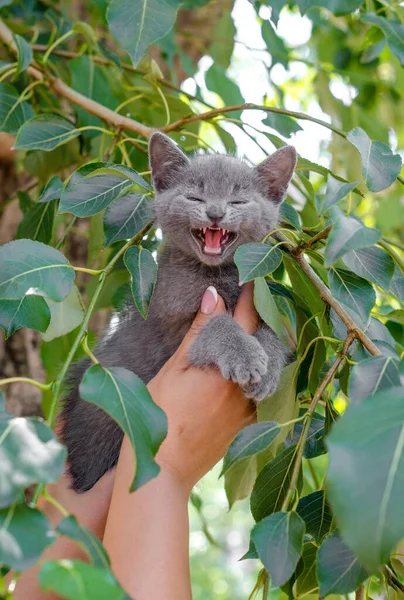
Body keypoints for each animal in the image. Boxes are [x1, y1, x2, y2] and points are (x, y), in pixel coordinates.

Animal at [60, 132, 296, 492]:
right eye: (195, 196)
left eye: (238, 201)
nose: (215, 212)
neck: (216, 275)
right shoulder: (173, 325)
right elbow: (216, 326)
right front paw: (245, 355)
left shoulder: (261, 297)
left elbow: (272, 331)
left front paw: (268, 367)